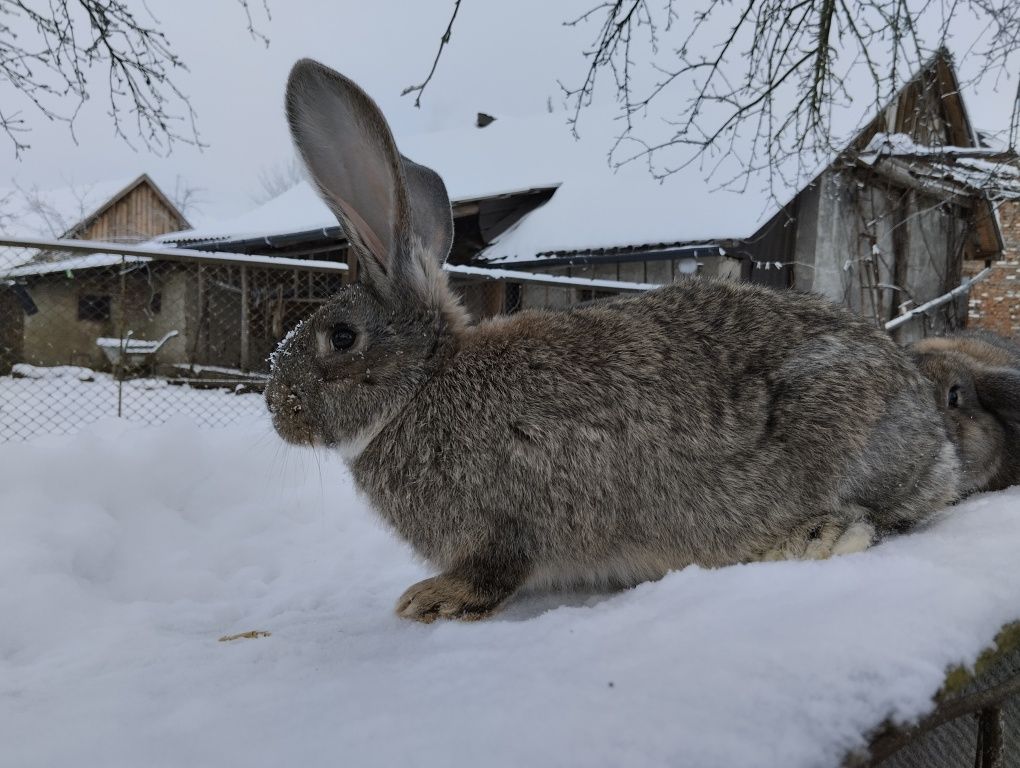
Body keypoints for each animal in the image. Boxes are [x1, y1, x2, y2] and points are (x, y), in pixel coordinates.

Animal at [265, 59, 962, 624]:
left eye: (341, 337)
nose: (277, 410)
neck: (422, 384)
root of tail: (937, 446)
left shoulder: (508, 521)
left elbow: (494, 572)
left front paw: (432, 599)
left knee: (885, 518)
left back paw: (815, 537)